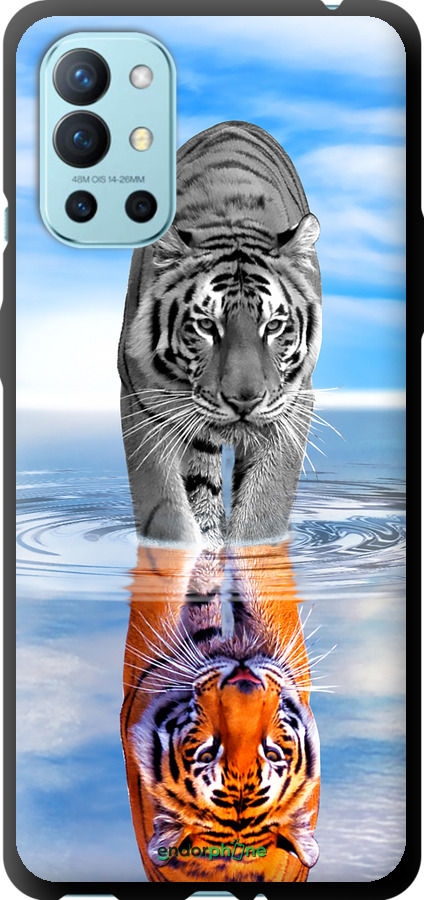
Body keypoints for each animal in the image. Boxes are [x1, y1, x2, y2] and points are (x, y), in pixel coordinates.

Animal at [118, 121, 322, 548]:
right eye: (207, 325)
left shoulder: (293, 404)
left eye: (273, 326)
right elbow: (166, 511)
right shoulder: (142, 401)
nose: (245, 401)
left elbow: (263, 509)